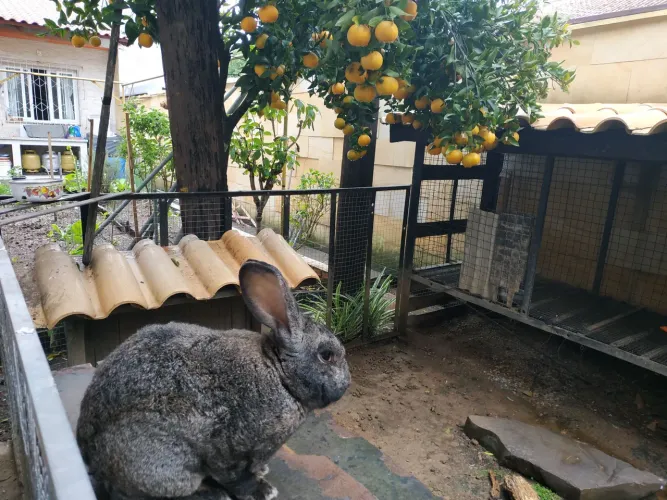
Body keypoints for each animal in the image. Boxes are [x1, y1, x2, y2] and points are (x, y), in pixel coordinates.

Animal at [76, 259, 351, 500]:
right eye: (327, 355)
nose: (347, 383)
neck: (280, 375)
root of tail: (91, 458)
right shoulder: (230, 450)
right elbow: (237, 477)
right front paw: (263, 491)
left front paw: (262, 473)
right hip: (165, 466)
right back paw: (211, 494)